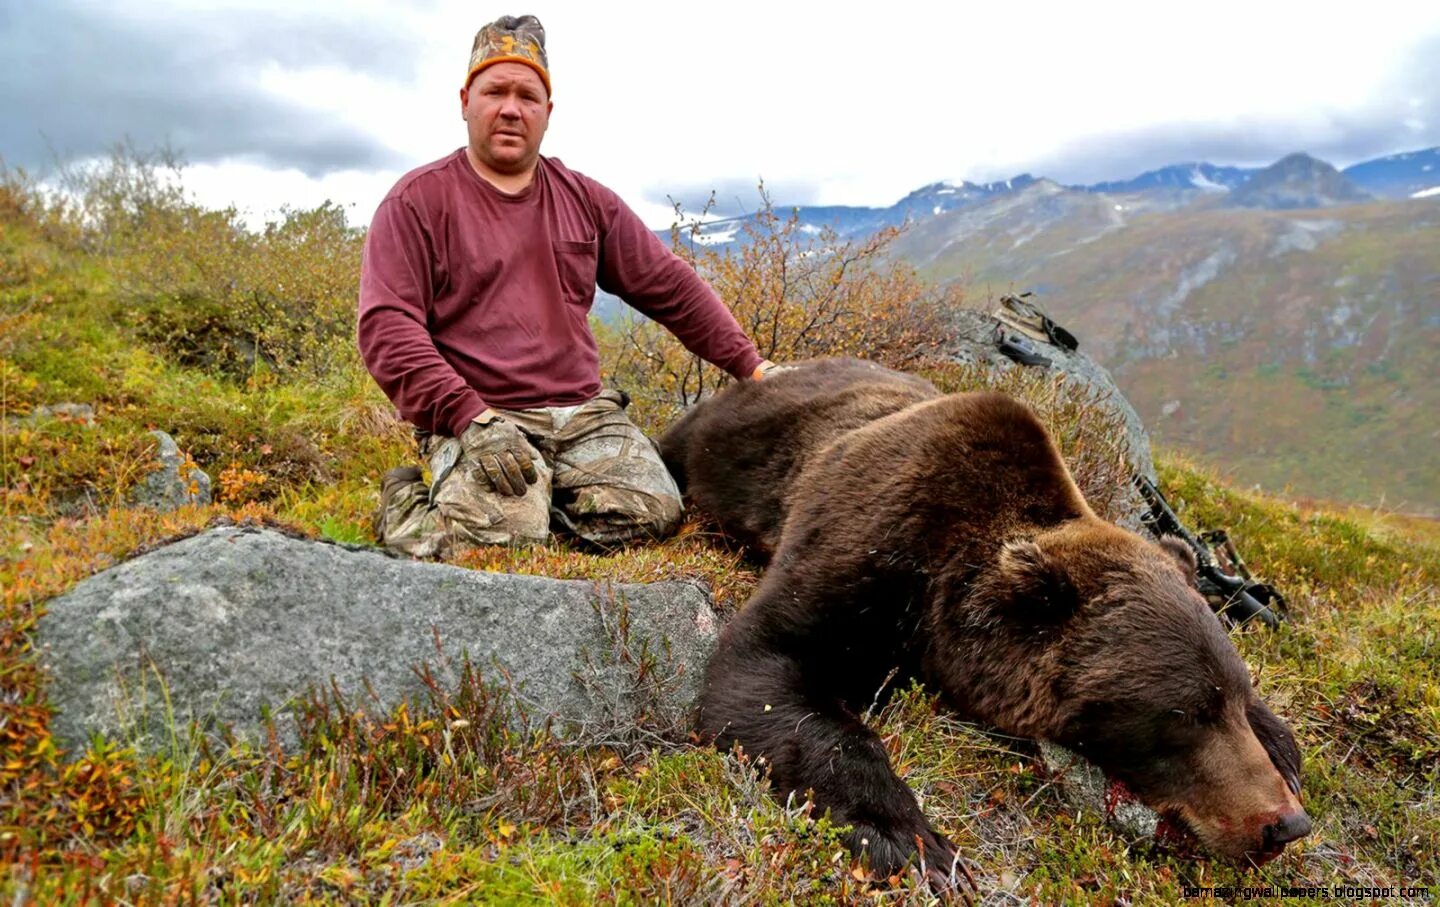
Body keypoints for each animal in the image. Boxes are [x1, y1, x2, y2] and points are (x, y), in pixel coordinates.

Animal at [659, 358, 1313, 886]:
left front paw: (1283, 746)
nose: (1286, 825)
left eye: (1232, 696)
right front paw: (914, 842)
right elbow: (767, 662)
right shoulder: (868, 543)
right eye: (1184, 714)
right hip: (703, 438)